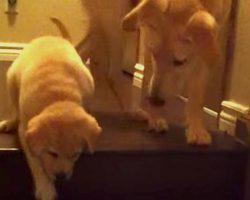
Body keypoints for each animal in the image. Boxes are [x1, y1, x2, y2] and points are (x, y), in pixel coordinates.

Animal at [0, 36, 102, 200]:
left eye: (75, 154)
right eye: (52, 153)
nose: (61, 176)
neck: (59, 98)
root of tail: (49, 37)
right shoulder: (25, 132)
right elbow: (36, 162)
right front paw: (45, 188)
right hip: (11, 78)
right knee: (15, 108)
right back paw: (10, 122)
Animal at [122, 0, 229, 145]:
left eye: (179, 62)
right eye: (154, 54)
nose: (154, 100)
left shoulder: (204, 51)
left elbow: (197, 96)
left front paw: (196, 130)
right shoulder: (147, 44)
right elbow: (147, 79)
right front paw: (154, 116)